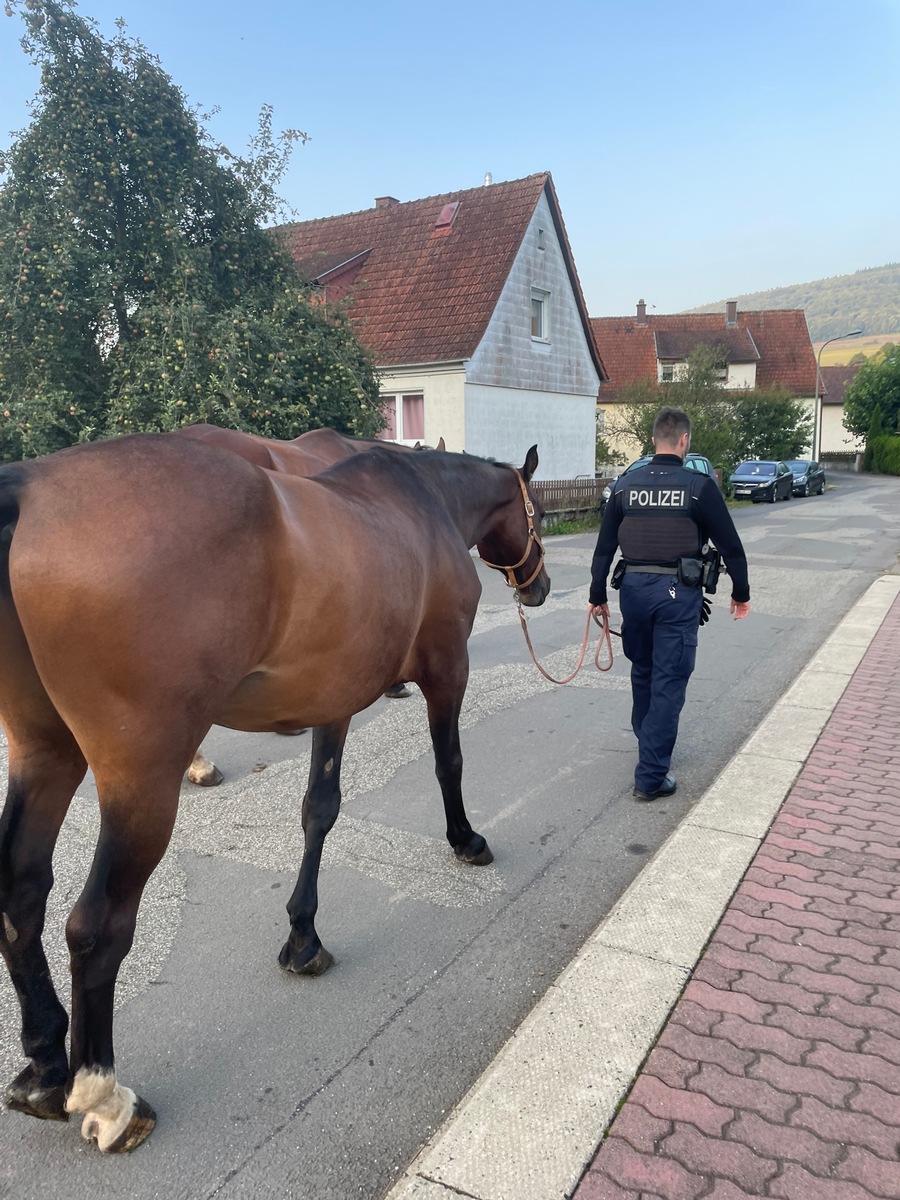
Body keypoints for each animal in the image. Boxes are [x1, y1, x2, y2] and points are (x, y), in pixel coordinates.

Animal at [0, 432, 549, 1152]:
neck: (425, 502)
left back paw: (44, 1065)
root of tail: (27, 489)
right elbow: (448, 762)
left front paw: (303, 934)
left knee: (20, 894)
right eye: (537, 510)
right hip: (140, 781)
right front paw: (466, 840)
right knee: (95, 927)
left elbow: (320, 810)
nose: (540, 585)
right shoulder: (446, 669)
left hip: (45, 754)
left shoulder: (334, 699)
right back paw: (105, 1098)